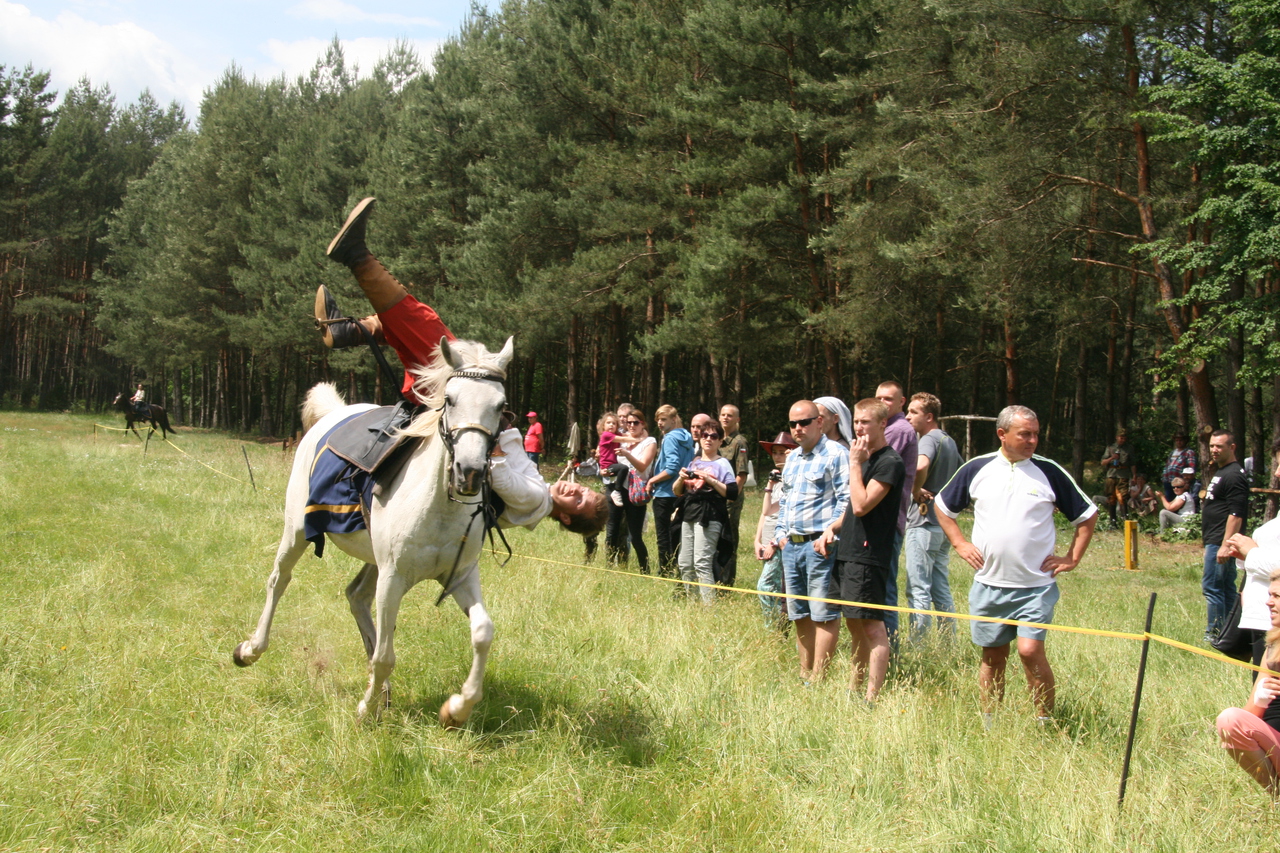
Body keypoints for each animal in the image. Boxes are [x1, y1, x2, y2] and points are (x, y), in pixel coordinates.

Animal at [232, 335, 512, 722]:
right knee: (279, 580)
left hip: (373, 559)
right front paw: (367, 708)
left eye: (500, 405)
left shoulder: (460, 576)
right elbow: (384, 655)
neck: (436, 506)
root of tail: (333, 415)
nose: (468, 473)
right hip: (296, 532)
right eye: (450, 399)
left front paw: (458, 707)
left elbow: (483, 632)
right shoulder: (393, 578)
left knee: (356, 596)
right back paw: (251, 649)